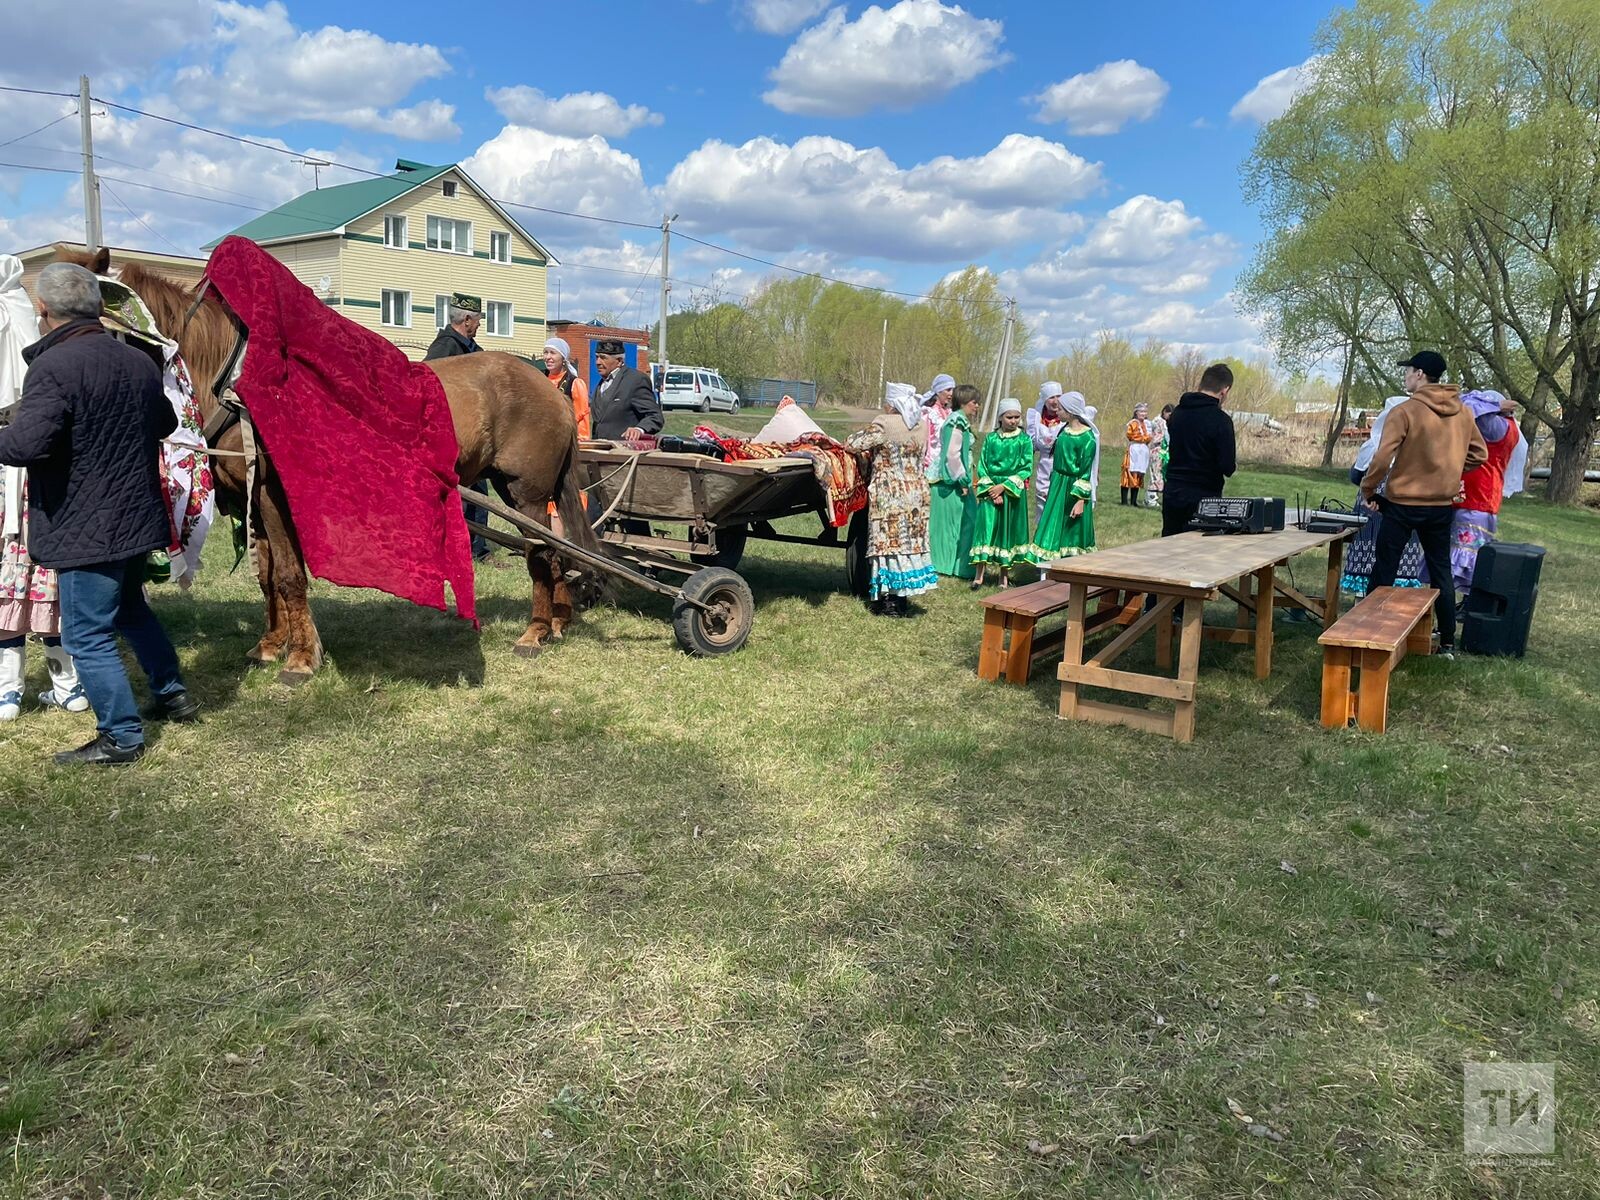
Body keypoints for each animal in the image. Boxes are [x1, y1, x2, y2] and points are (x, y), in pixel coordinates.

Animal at [58, 244, 601, 684]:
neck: (235, 384)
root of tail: (549, 385)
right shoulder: (256, 500)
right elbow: (268, 575)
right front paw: (272, 644)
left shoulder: (273, 495)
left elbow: (289, 575)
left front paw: (301, 659)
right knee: (557, 551)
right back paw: (557, 621)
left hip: (526, 492)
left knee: (541, 552)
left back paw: (535, 630)